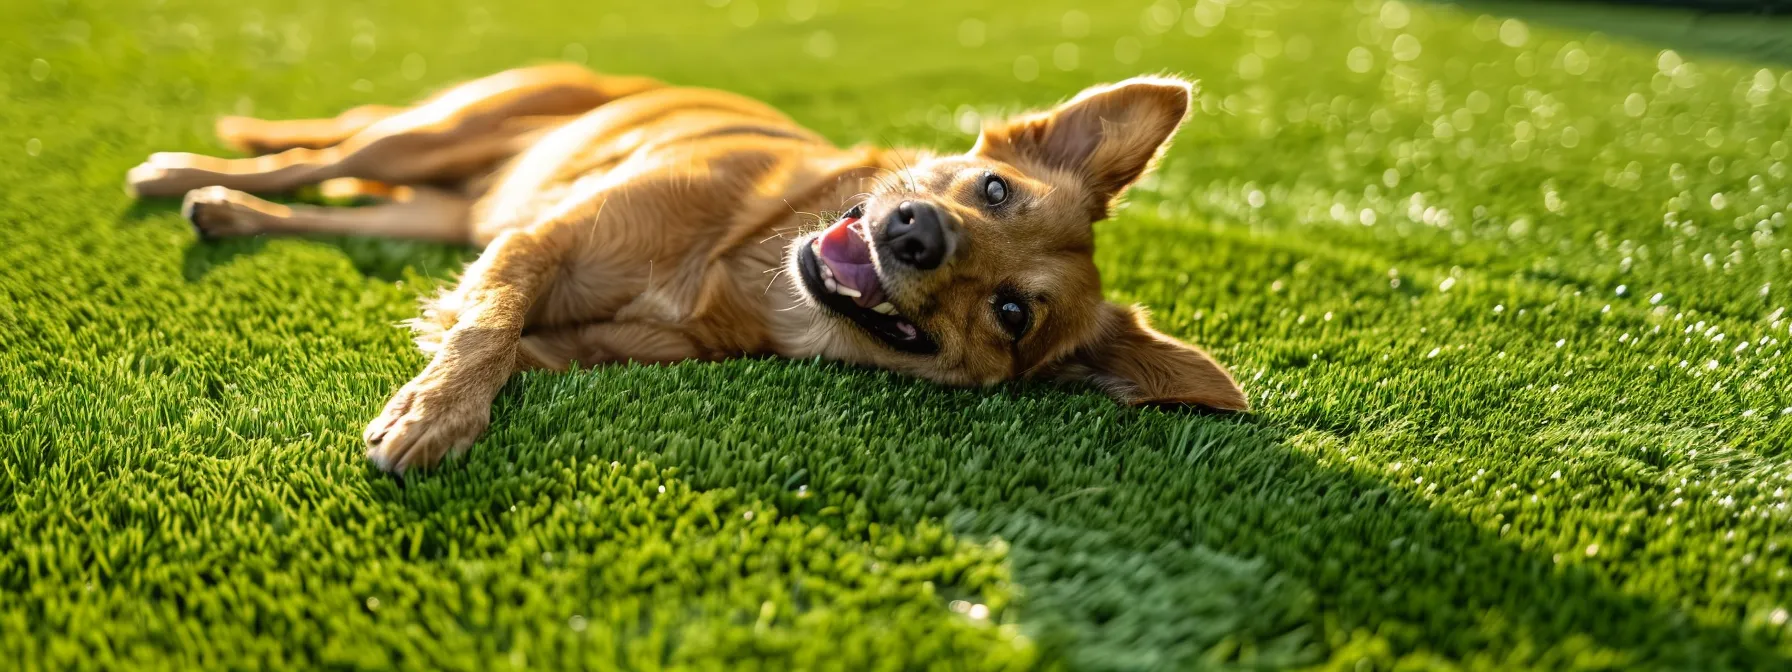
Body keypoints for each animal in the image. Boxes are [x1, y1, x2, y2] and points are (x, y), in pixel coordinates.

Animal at [126, 63, 1247, 473]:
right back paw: (187, 174)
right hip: (433, 135)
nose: (916, 237)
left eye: (1013, 313)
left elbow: (496, 338)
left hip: (440, 210)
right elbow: (485, 326)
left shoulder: (569, 325)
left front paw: (441, 395)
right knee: (318, 159)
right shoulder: (540, 241)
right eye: (995, 190)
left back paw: (229, 211)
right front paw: (435, 412)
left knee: (343, 210)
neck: (740, 267)